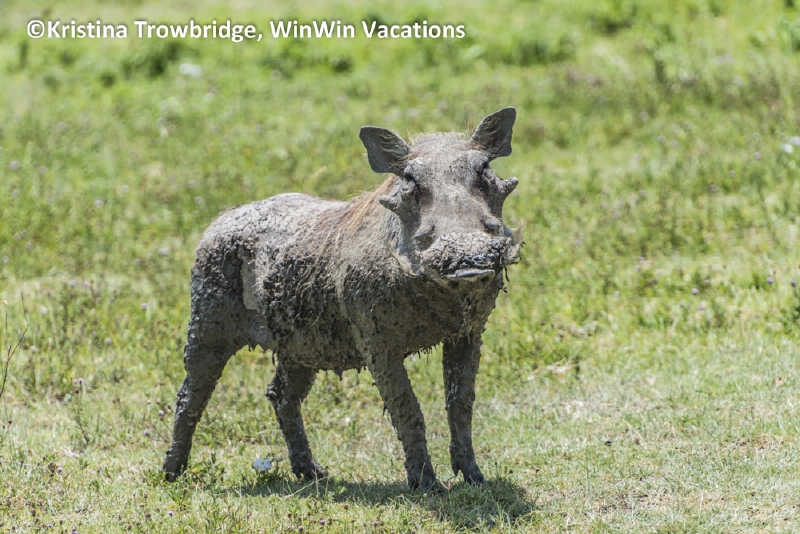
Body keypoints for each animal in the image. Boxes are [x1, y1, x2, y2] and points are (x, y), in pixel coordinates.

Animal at [162, 107, 522, 491]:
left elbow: (460, 405)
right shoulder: (379, 346)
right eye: (410, 180)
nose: (469, 262)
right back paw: (171, 473)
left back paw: (311, 472)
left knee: (282, 397)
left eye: (484, 170)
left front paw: (475, 478)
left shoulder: (467, 334)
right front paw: (426, 485)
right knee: (190, 397)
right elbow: (408, 410)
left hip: (300, 347)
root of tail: (220, 220)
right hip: (207, 329)